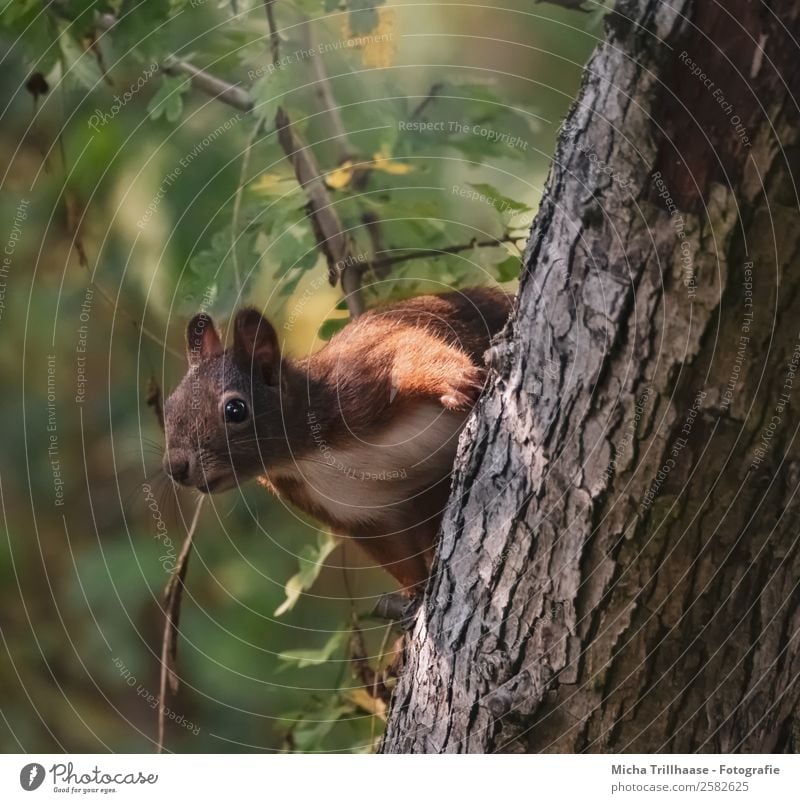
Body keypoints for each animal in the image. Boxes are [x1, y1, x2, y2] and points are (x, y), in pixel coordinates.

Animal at [162, 286, 512, 592]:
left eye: (235, 410)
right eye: (168, 406)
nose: (175, 467)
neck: (304, 457)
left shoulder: (359, 373)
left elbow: (408, 352)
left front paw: (454, 380)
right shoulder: (354, 513)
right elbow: (394, 555)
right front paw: (417, 595)